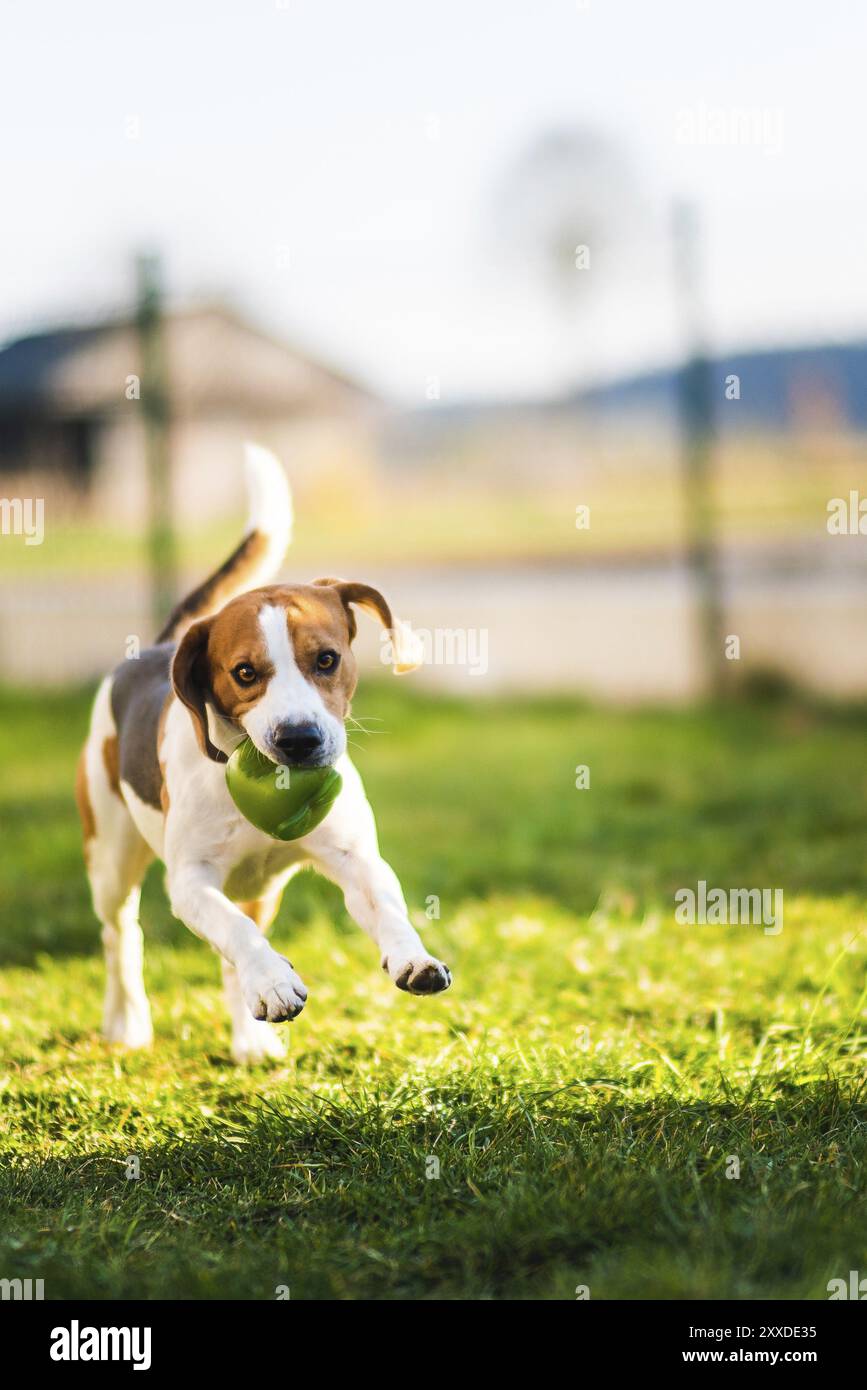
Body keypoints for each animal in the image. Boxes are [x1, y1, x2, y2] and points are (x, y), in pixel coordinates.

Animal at [75, 444, 450, 1061]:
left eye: (326, 659)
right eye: (245, 673)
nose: (299, 739)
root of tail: (160, 644)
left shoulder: (354, 857)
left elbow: (387, 905)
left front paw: (412, 955)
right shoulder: (191, 881)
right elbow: (236, 933)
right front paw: (274, 981)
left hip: (260, 891)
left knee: (230, 956)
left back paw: (250, 1040)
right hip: (110, 857)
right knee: (121, 936)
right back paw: (128, 1021)